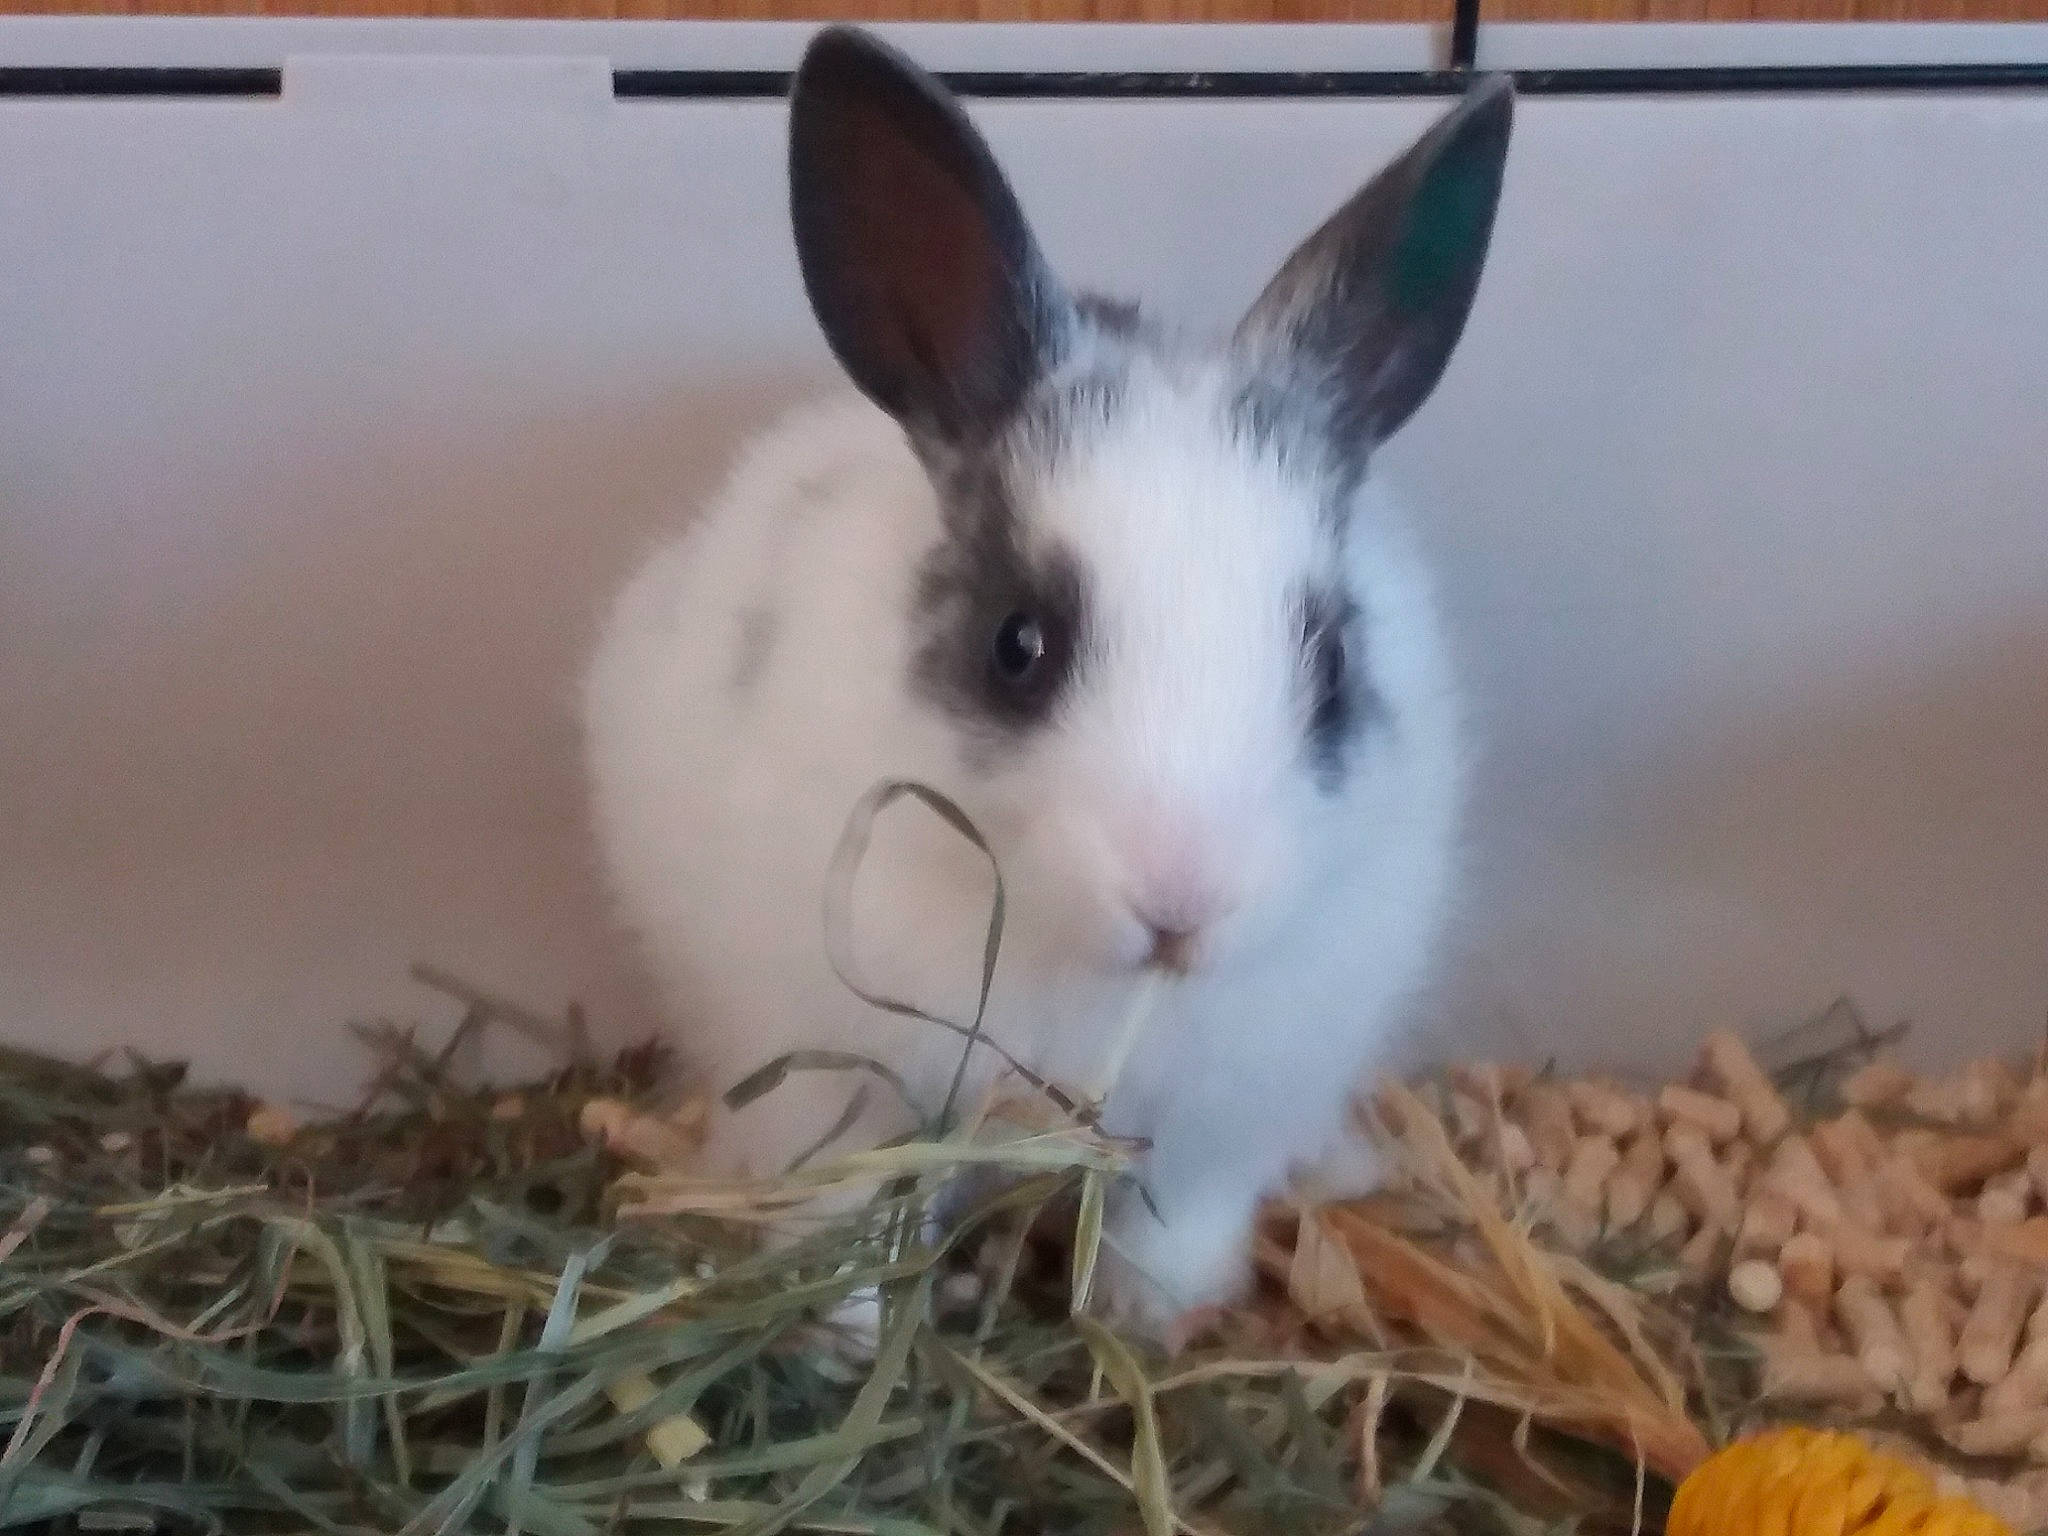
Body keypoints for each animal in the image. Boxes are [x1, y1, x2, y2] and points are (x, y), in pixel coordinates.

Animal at [583, 24, 1513, 1337]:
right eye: (1015, 645)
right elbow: (847, 1223)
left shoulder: (1214, 1134)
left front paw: (1152, 1328)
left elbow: (1167, 1238)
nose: (1179, 906)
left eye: (1330, 665)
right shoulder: (832, 1089)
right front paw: (840, 1338)